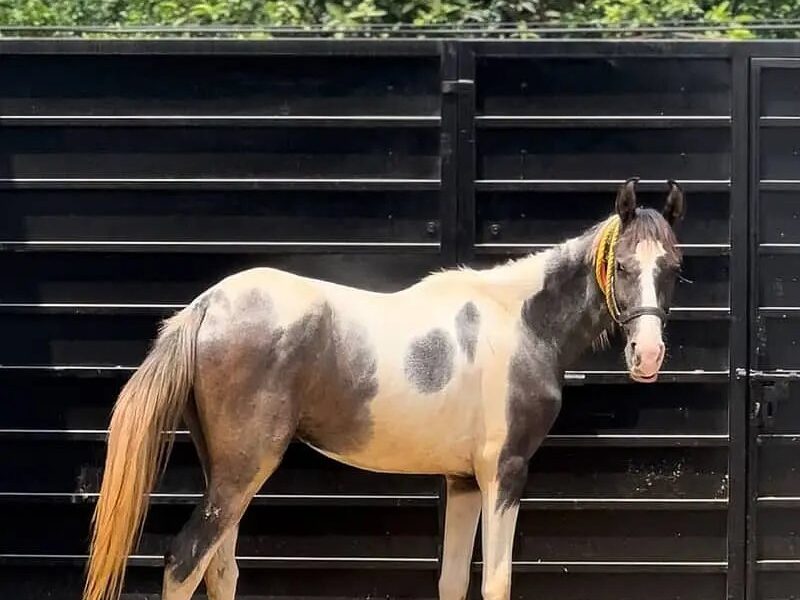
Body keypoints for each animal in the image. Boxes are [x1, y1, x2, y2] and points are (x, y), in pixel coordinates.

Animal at [83, 177, 686, 600]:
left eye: (673, 268)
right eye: (624, 266)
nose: (647, 356)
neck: (521, 320)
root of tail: (206, 306)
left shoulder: (463, 482)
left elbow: (453, 581)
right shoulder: (504, 474)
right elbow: (496, 582)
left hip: (227, 475)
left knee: (220, 568)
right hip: (243, 471)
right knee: (185, 563)